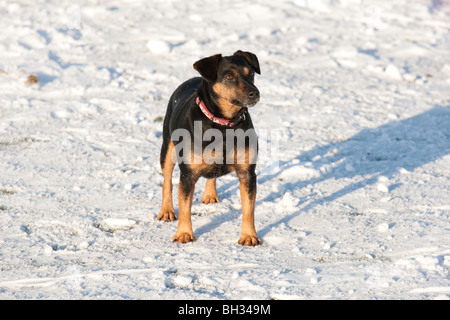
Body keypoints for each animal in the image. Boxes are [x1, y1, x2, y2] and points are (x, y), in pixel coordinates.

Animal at [158, 50, 262, 246]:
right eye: (229, 76)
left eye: (251, 73)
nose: (255, 93)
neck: (223, 124)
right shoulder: (188, 174)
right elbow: (185, 207)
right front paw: (184, 234)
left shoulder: (247, 172)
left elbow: (249, 209)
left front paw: (249, 236)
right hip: (167, 147)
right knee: (167, 180)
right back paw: (166, 211)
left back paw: (209, 195)